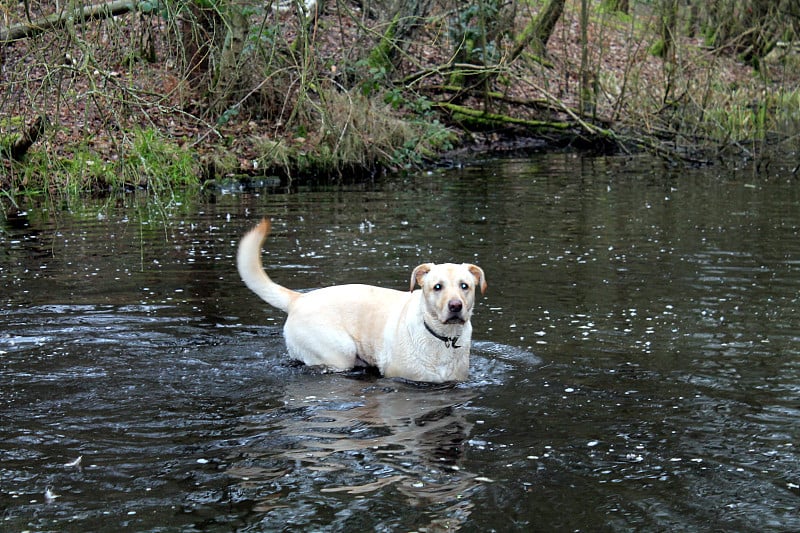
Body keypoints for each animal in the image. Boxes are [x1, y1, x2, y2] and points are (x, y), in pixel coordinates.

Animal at [236, 220, 488, 382]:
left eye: (464, 286)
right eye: (437, 287)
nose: (455, 306)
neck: (443, 339)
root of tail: (299, 298)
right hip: (339, 353)